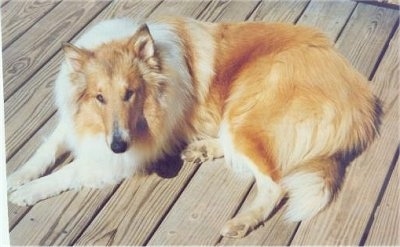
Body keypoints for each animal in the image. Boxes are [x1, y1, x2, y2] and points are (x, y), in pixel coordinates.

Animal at [7, 17, 382, 237]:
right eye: (99, 97)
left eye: (130, 93)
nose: (118, 145)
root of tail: (361, 101)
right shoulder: (77, 124)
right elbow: (45, 150)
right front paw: (17, 177)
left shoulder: (119, 158)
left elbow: (65, 174)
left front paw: (26, 192)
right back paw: (201, 149)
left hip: (245, 113)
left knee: (274, 185)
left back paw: (241, 222)